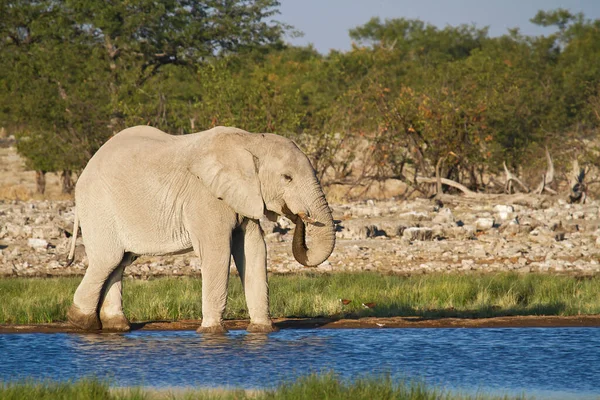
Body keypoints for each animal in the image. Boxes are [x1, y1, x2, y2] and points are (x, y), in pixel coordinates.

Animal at [67, 126, 338, 332]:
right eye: (287, 178)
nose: (300, 216)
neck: (248, 141)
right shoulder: (205, 197)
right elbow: (217, 252)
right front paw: (212, 332)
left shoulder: (244, 195)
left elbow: (254, 250)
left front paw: (262, 330)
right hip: (99, 207)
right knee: (108, 260)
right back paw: (82, 322)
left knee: (120, 263)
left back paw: (117, 326)